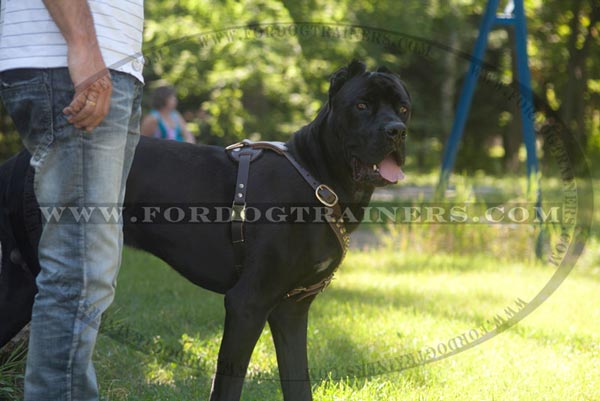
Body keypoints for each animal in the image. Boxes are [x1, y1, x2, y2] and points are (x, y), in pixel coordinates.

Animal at [0, 60, 410, 400]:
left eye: (403, 108)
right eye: (361, 106)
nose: (397, 131)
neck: (318, 176)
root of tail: (21, 158)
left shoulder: (291, 309)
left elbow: (298, 383)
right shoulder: (247, 302)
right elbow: (228, 385)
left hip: (21, 280)